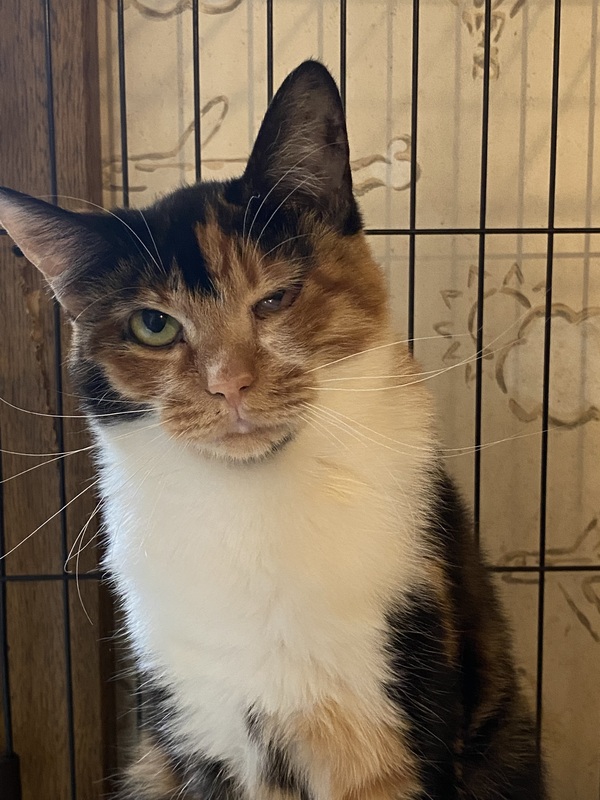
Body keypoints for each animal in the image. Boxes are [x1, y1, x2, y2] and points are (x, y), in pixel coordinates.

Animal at [0, 61, 546, 800]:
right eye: (153, 325)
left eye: (277, 298)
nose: (229, 382)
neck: (251, 506)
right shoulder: (200, 725)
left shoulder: (398, 698)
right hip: (151, 763)